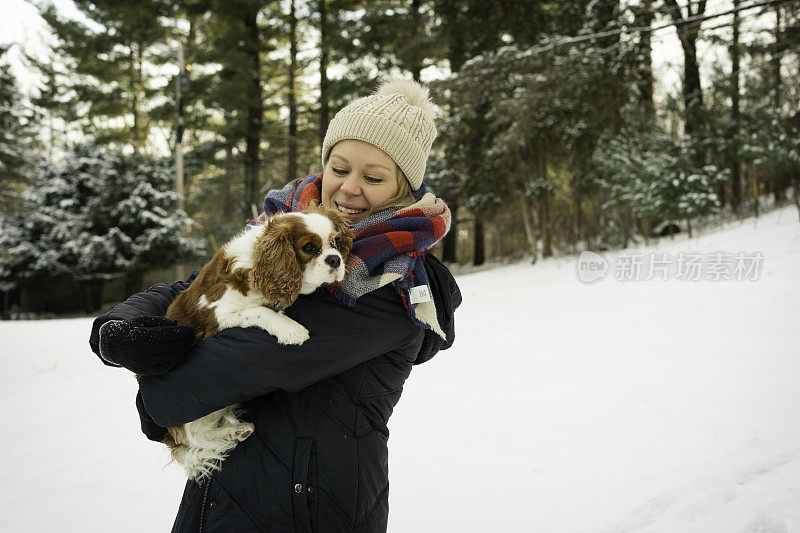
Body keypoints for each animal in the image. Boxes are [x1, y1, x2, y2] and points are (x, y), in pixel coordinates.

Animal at [156, 204, 354, 478]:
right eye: (308, 247)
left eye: (335, 242)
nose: (335, 259)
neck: (258, 263)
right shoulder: (218, 314)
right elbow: (261, 311)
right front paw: (291, 329)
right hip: (188, 419)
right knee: (194, 438)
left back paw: (235, 429)